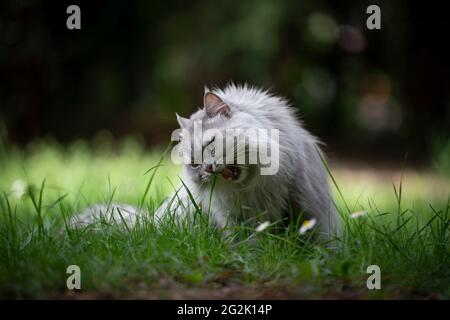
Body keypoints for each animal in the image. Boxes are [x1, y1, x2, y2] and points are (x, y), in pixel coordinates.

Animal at [69, 84, 338, 238]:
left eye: (210, 144)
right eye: (194, 163)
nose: (208, 168)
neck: (254, 189)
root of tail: (147, 222)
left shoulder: (306, 205)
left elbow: (320, 241)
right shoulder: (237, 220)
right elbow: (248, 245)